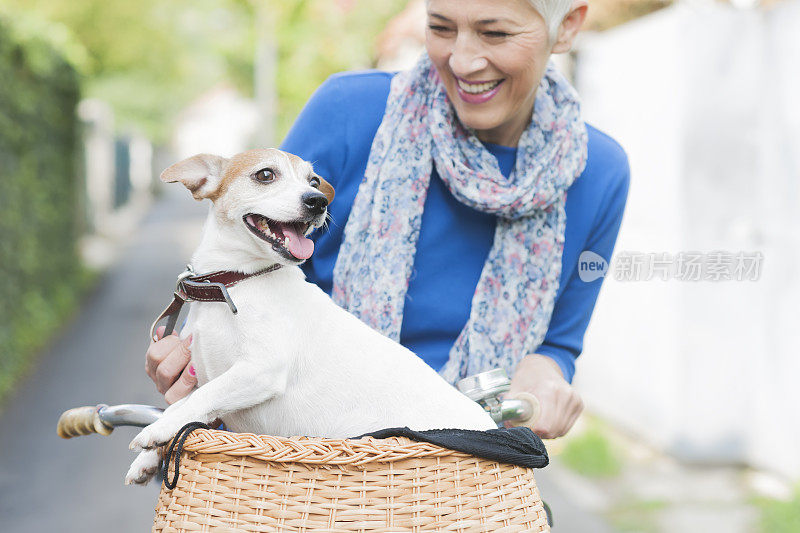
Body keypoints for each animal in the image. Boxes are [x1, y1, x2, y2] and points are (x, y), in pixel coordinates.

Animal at [126, 148, 496, 484]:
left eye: (314, 181)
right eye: (265, 175)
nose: (318, 201)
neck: (235, 283)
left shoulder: (259, 370)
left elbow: (197, 400)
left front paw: (157, 430)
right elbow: (191, 407)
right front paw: (149, 457)